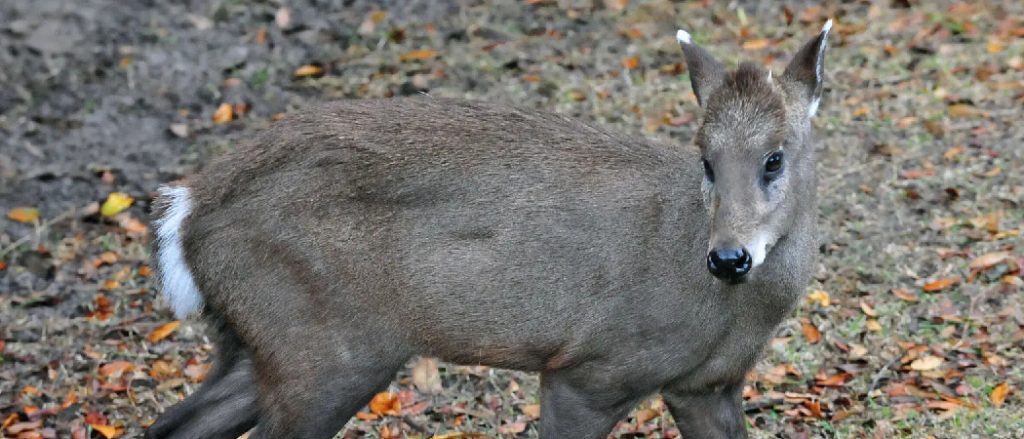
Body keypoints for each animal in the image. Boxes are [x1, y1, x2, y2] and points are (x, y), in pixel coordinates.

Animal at [146, 21, 832, 439]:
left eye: (775, 158)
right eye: (706, 159)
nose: (729, 257)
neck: (728, 315)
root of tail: (188, 210)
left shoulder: (707, 385)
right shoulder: (592, 366)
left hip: (262, 342)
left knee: (170, 424)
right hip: (323, 351)